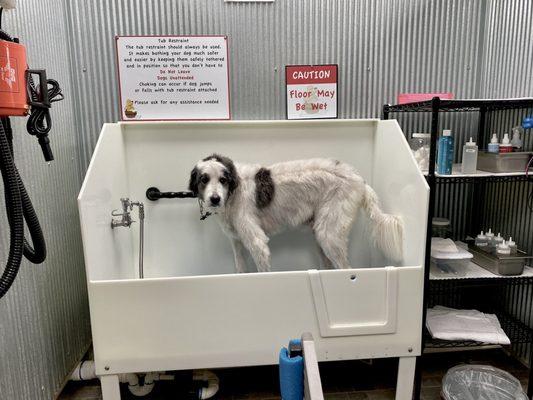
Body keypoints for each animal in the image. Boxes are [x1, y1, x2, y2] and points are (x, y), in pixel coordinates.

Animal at [189, 153, 402, 272]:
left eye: (223, 179)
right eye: (204, 179)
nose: (215, 199)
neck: (234, 191)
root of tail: (360, 181)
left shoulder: (257, 243)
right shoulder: (237, 243)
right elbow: (240, 270)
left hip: (329, 235)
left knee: (346, 270)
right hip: (322, 237)